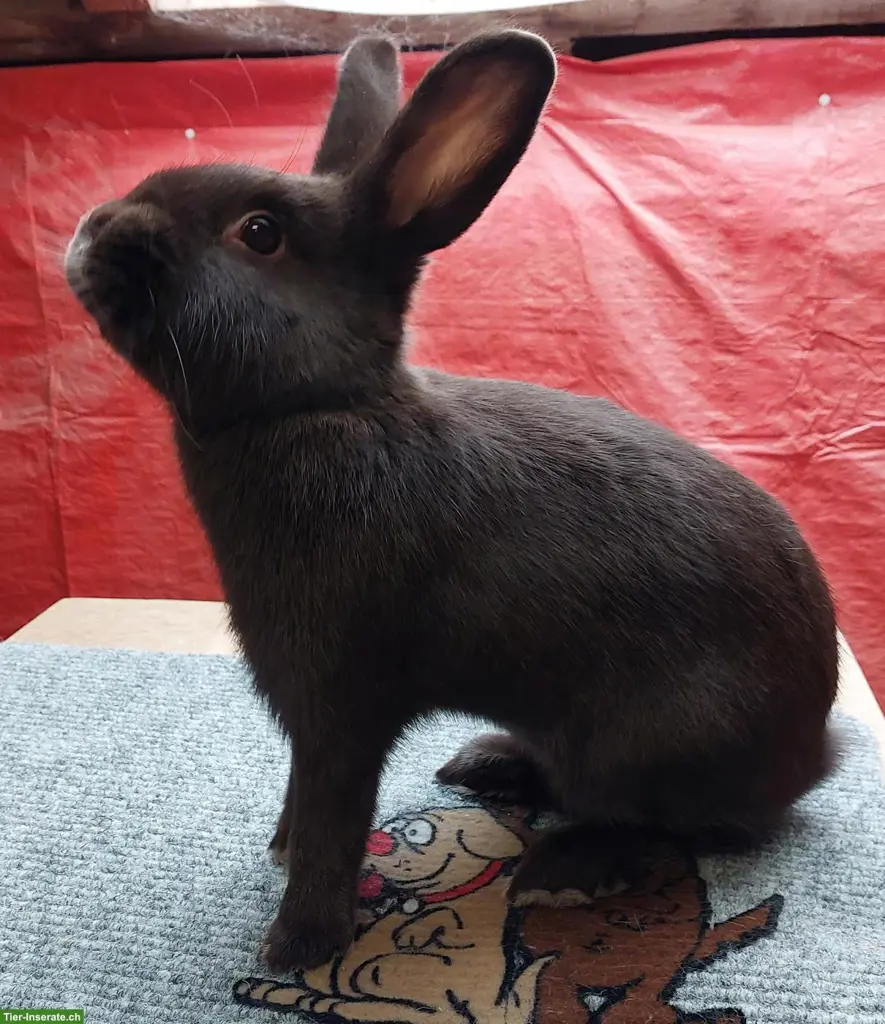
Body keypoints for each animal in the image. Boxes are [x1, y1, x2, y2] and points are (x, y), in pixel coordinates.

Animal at [64, 29, 839, 974]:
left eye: (259, 233)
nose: (93, 229)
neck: (321, 405)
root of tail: (814, 750)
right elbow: (302, 798)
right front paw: (279, 851)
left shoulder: (340, 704)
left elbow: (334, 815)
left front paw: (297, 943)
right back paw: (487, 766)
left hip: (647, 740)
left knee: (672, 828)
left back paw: (560, 870)